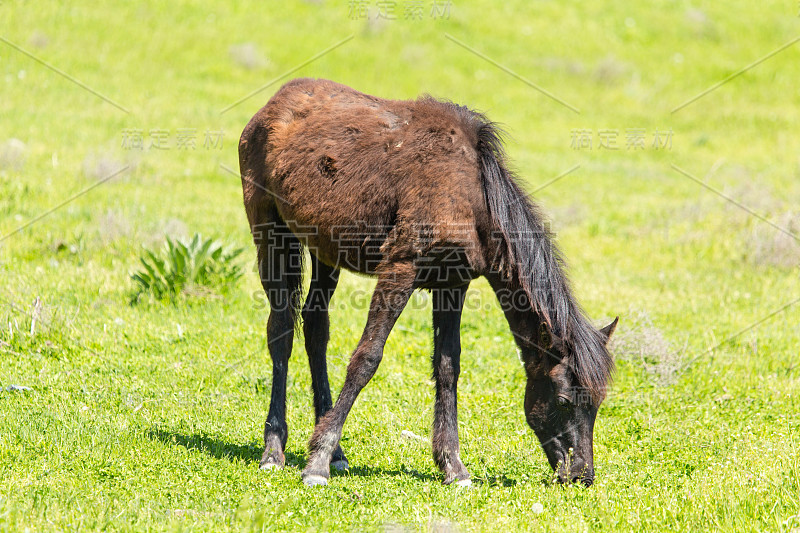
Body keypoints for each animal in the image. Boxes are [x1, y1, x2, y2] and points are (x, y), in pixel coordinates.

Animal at [238, 78, 620, 486]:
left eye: (597, 402)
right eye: (563, 399)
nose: (581, 475)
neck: (471, 196)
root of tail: (272, 105)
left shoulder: (452, 285)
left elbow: (448, 367)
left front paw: (453, 465)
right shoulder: (401, 268)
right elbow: (366, 358)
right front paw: (317, 463)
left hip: (325, 250)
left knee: (315, 326)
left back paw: (337, 453)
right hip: (271, 233)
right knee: (281, 330)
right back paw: (274, 451)